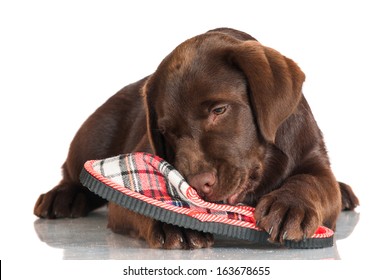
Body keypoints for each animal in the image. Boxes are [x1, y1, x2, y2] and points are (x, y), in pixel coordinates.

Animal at [33, 27, 358, 249]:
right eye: (166, 132)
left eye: (219, 110)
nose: (197, 185)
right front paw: (173, 222)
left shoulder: (313, 157)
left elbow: (313, 183)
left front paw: (291, 205)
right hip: (94, 133)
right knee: (72, 174)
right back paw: (62, 197)